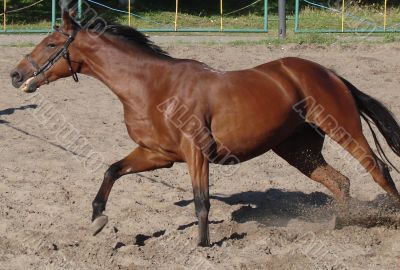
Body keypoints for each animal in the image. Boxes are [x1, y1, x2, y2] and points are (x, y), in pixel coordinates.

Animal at [9, 11, 400, 247]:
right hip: (297, 149)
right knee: (340, 182)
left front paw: (203, 244)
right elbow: (112, 170)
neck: (153, 88)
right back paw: (342, 224)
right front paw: (97, 218)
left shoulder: (196, 153)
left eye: (51, 44)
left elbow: (201, 202)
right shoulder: (158, 155)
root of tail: (330, 73)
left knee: (378, 170)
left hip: (343, 129)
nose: (15, 74)